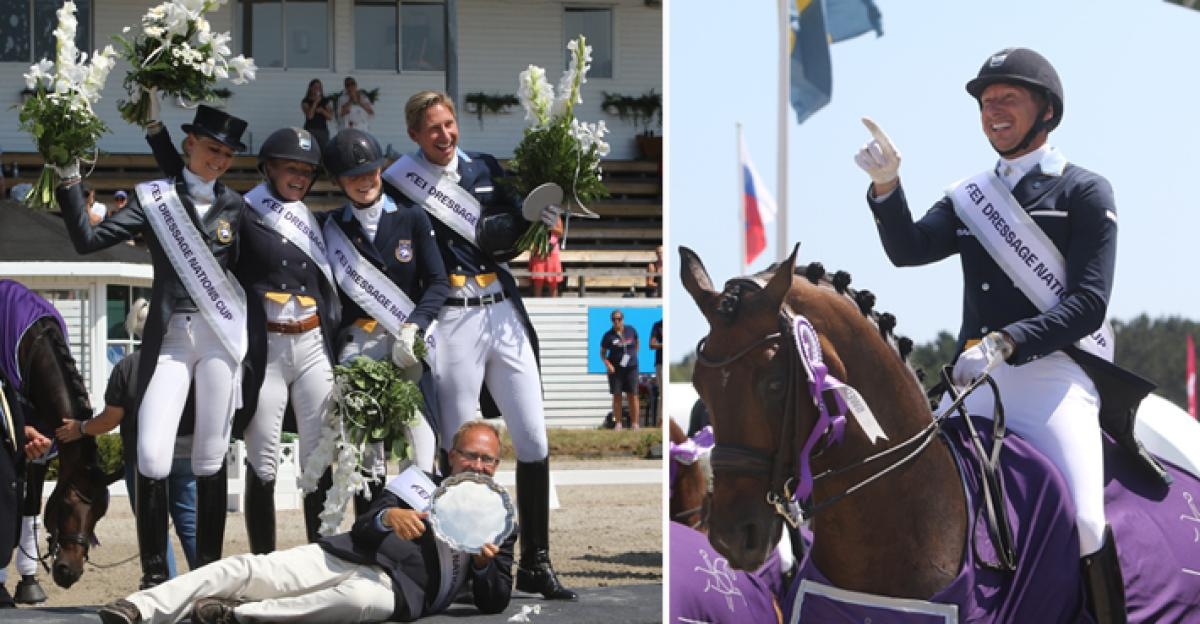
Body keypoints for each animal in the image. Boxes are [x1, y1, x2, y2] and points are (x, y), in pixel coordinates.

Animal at [0, 280, 118, 588]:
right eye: (67, 505)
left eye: (100, 512)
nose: (69, 572)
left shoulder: (43, 445)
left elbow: (30, 507)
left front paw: (28, 584)